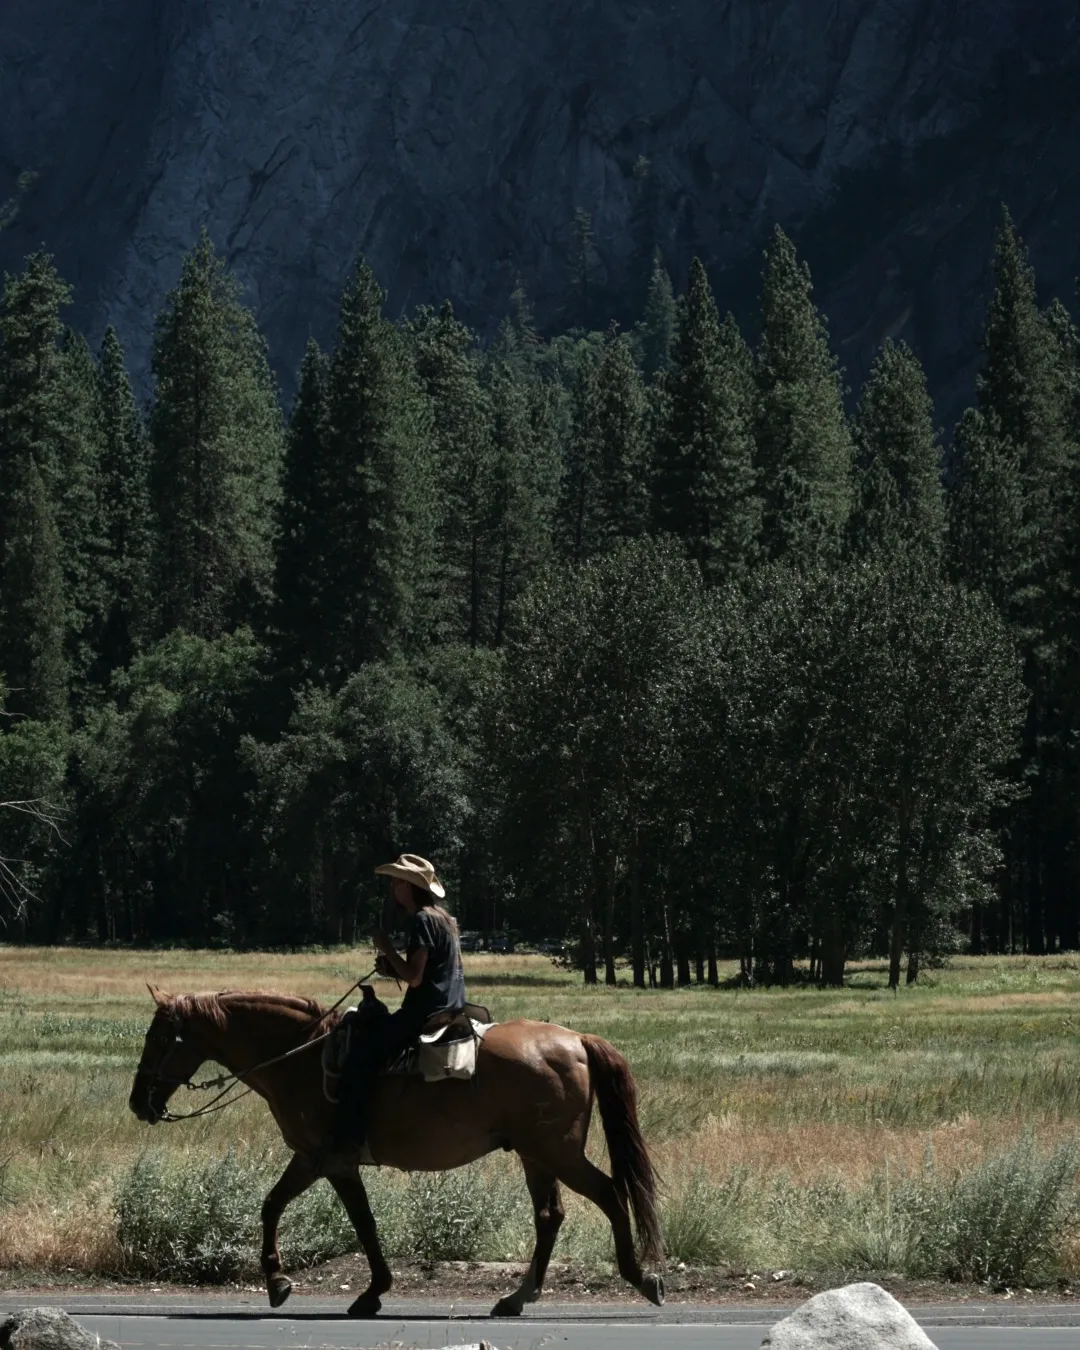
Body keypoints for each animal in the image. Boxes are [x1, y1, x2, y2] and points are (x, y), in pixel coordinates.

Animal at [129, 982, 661, 1317]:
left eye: (158, 1036)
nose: (138, 1103)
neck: (299, 1057)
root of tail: (576, 1040)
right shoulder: (314, 1159)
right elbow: (281, 1206)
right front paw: (287, 1283)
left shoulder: (330, 1160)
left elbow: (351, 1221)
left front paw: (354, 1290)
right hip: (537, 1156)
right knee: (550, 1216)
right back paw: (516, 1298)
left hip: (559, 1153)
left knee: (610, 1195)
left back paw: (641, 1278)